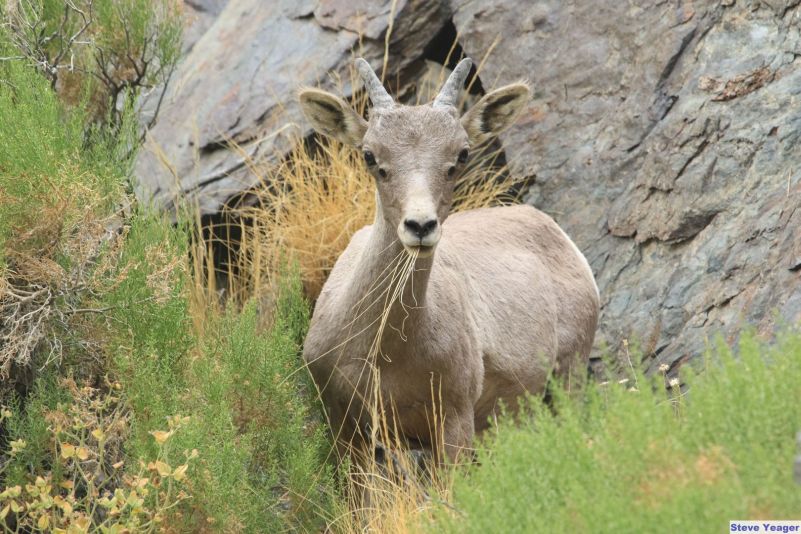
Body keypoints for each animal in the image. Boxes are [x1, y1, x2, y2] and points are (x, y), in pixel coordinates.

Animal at [300, 57, 600, 460]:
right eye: (369, 155)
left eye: (462, 154)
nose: (420, 225)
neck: (386, 353)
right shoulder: (346, 429)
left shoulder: (454, 420)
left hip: (568, 378)